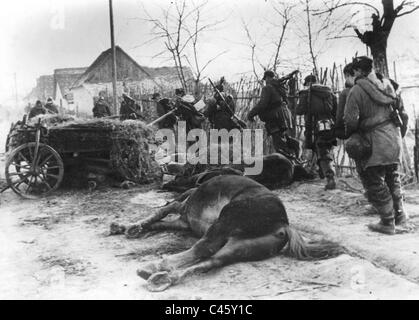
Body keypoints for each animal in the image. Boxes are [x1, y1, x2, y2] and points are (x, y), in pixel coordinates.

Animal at [114, 174, 342, 292]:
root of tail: (283, 224)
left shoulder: (182, 208)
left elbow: (160, 212)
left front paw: (130, 227)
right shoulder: (184, 222)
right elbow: (160, 222)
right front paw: (126, 227)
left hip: (224, 221)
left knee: (203, 248)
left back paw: (155, 268)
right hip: (241, 247)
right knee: (212, 260)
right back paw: (162, 279)